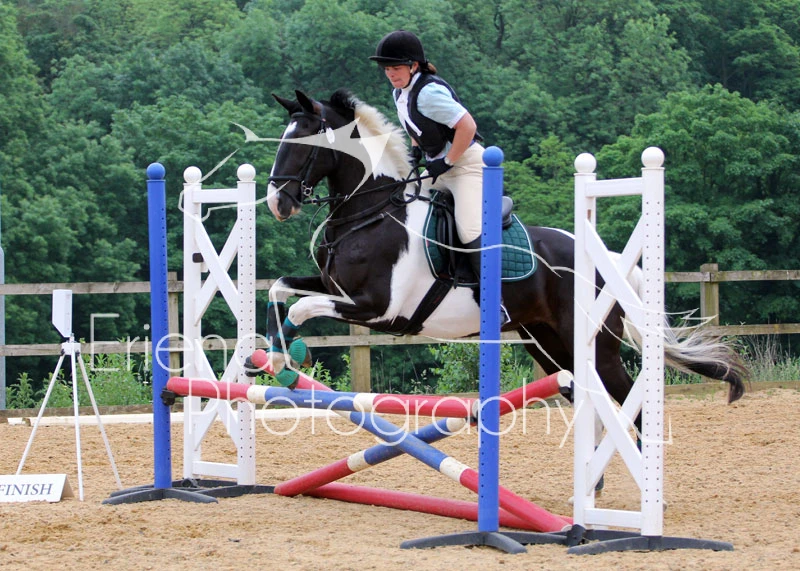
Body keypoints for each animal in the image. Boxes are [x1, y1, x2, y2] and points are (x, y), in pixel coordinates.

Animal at [262, 88, 748, 407]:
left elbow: (301, 309)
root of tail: (608, 260)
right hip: (548, 344)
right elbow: (280, 289)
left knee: (629, 401)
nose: (277, 203)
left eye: (302, 142)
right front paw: (273, 359)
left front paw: (290, 358)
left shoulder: (377, 309)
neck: (372, 213)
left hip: (594, 345)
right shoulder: (335, 289)